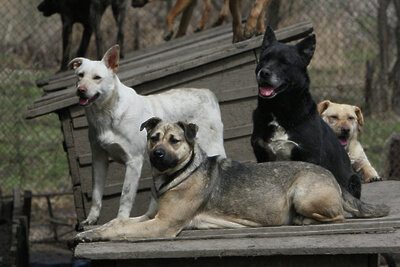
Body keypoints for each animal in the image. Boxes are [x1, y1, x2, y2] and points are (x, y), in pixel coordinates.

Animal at [69, 44, 225, 228]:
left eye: (97, 78)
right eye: (80, 75)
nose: (81, 91)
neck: (107, 113)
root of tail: (207, 93)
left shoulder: (133, 162)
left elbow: (125, 197)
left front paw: (120, 221)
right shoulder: (99, 158)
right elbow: (96, 193)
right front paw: (92, 219)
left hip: (213, 146)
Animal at [71, 118, 388, 244]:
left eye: (174, 140)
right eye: (153, 138)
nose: (157, 155)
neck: (176, 175)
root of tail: (332, 177)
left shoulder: (162, 224)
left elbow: (121, 229)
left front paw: (94, 235)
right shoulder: (151, 216)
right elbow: (118, 221)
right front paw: (90, 230)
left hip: (302, 193)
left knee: (338, 217)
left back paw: (302, 220)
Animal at [253, 26, 362, 199]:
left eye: (285, 62)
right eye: (263, 59)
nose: (264, 73)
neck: (278, 111)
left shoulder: (308, 157)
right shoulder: (262, 156)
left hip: (354, 181)